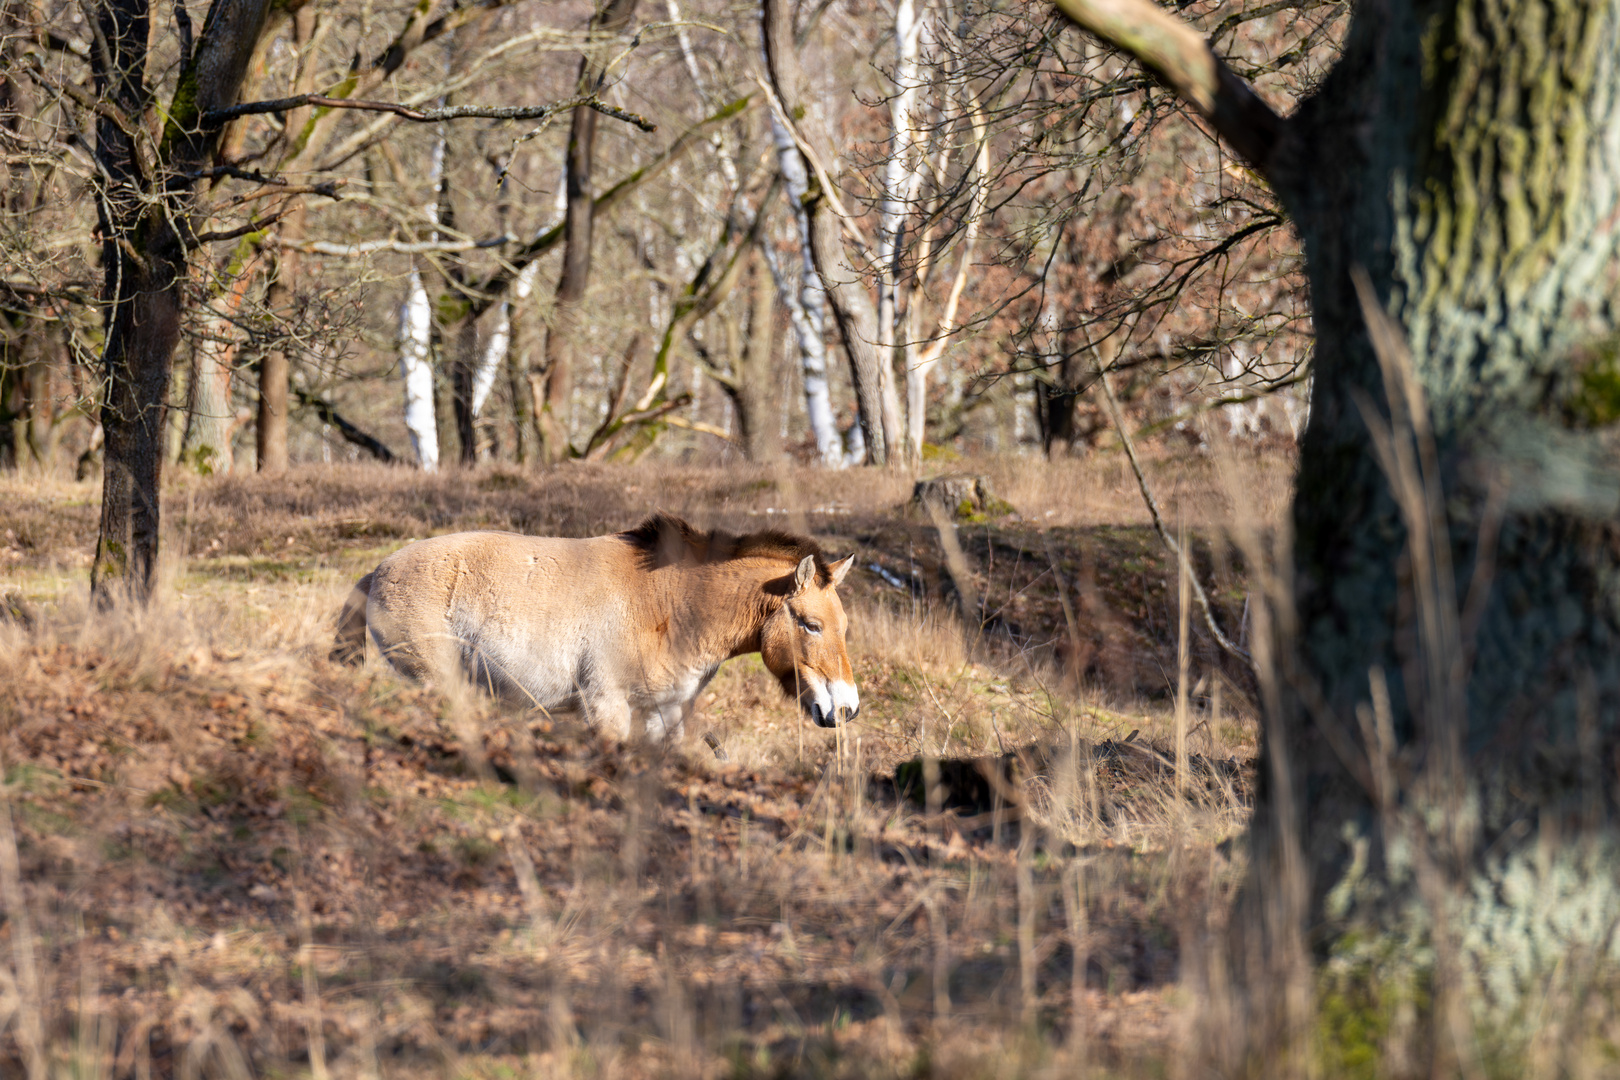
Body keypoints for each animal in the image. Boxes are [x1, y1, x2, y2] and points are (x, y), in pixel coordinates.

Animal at [327, 511, 861, 738]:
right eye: (811, 625)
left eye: (843, 628)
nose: (847, 709)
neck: (670, 606)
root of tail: (379, 570)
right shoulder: (607, 708)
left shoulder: (663, 715)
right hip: (436, 682)